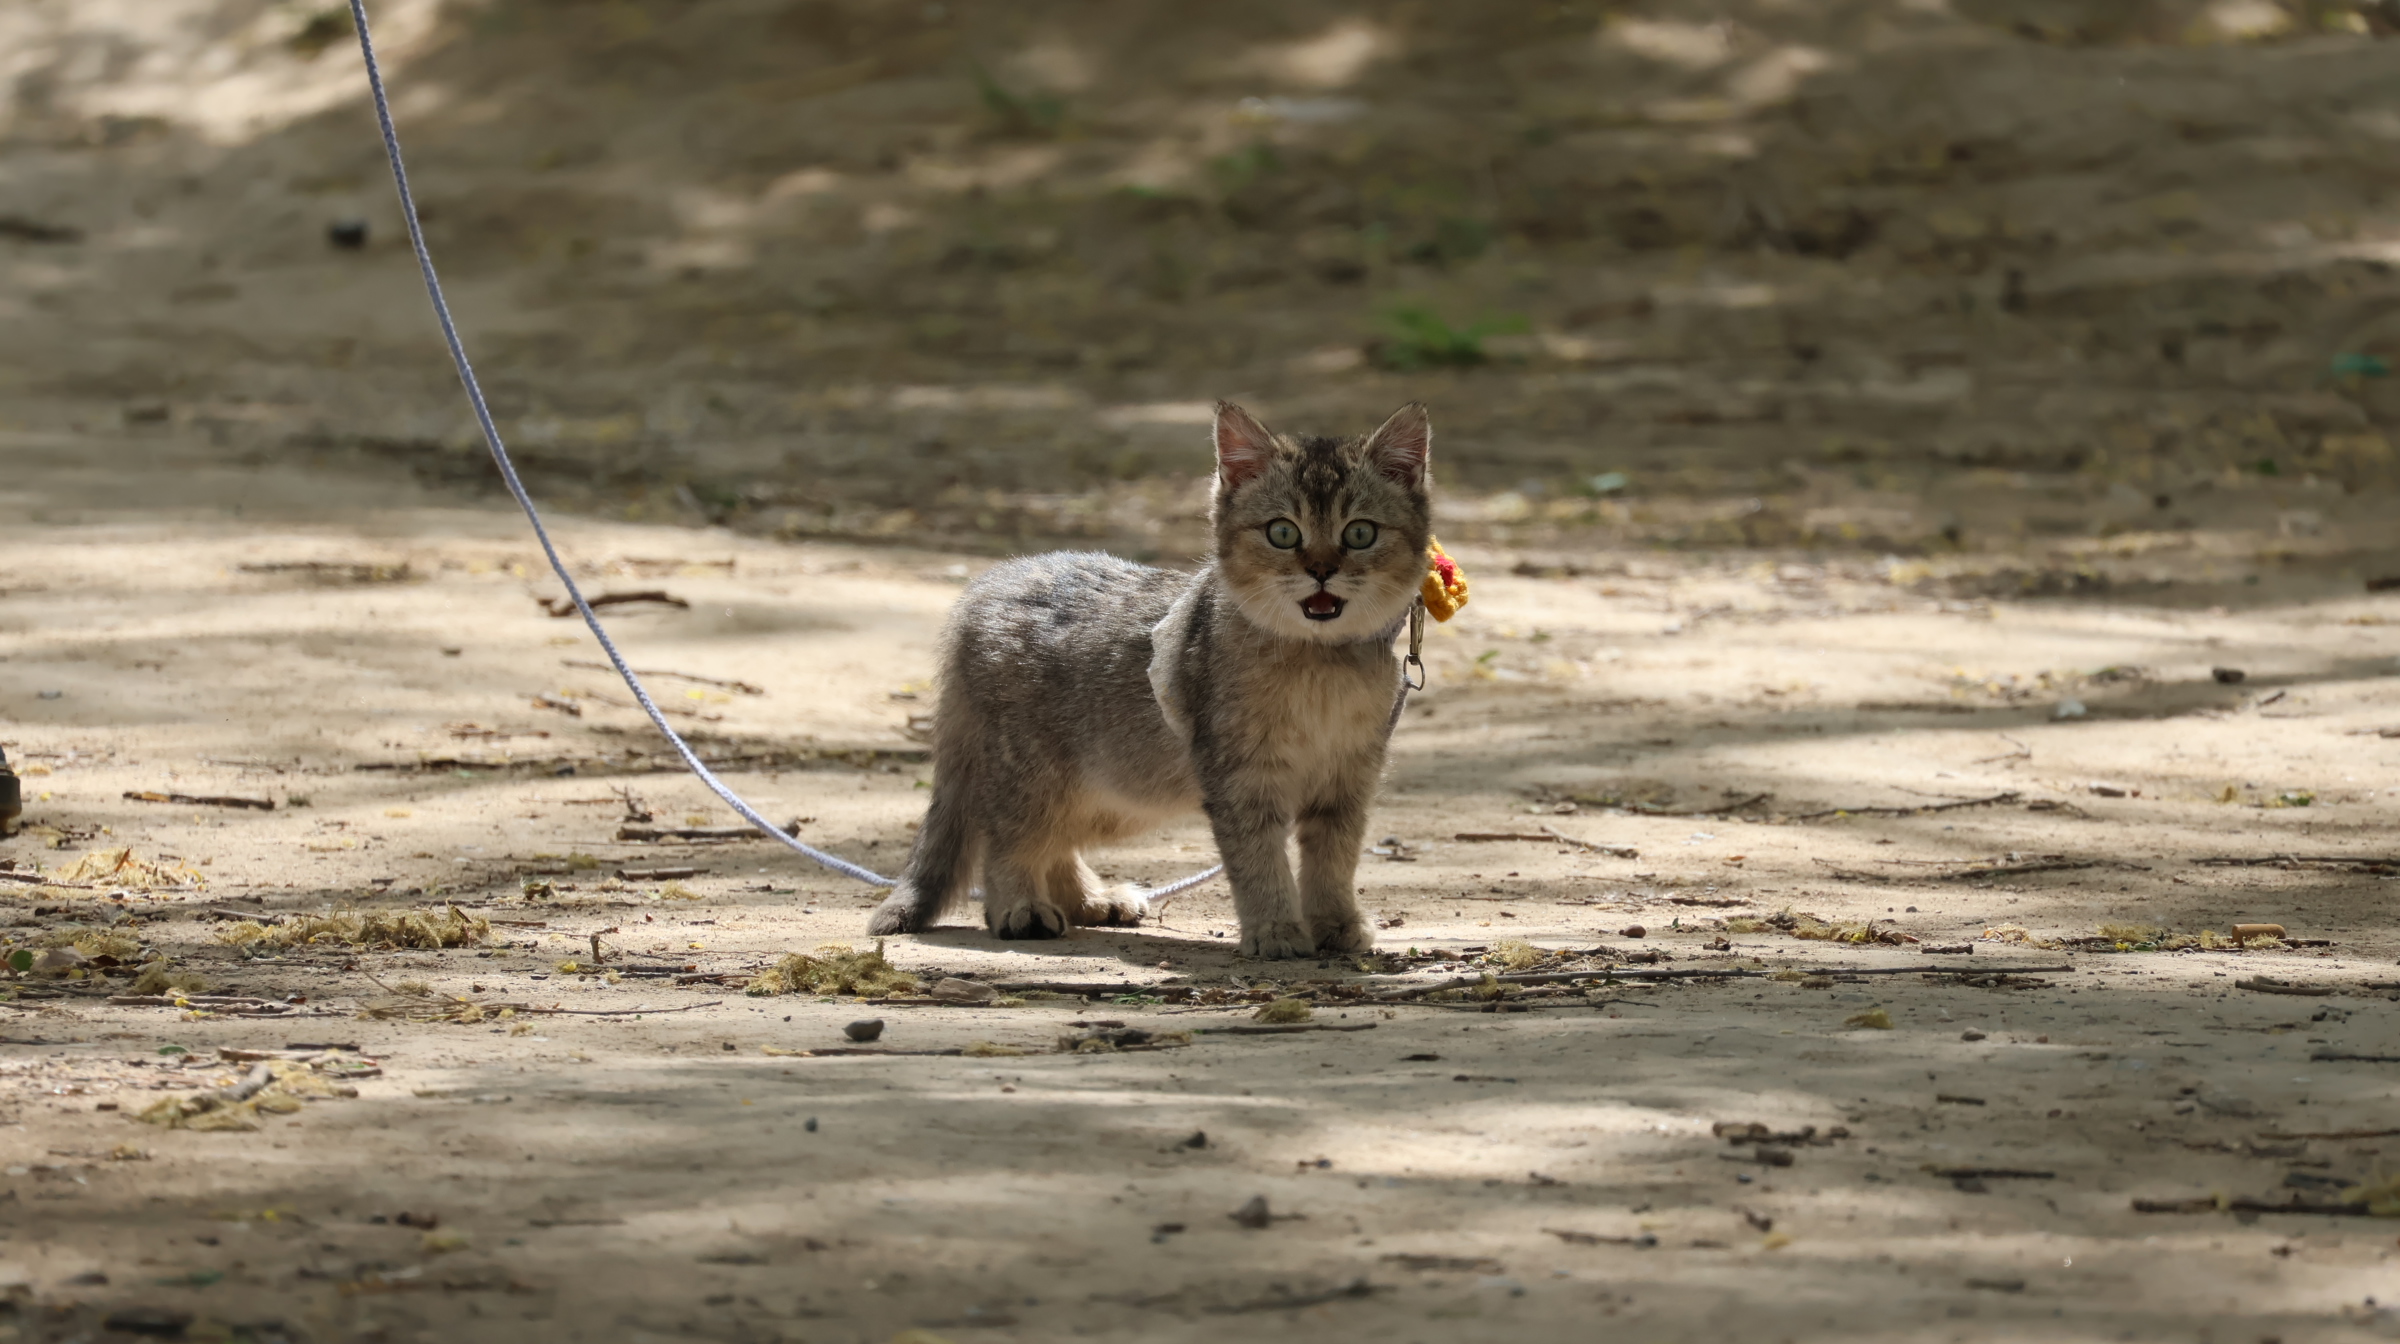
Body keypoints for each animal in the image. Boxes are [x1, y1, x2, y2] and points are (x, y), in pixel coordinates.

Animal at [873, 398, 1430, 955]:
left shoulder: (1347, 777)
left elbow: (1334, 860)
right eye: (1283, 532)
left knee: (1055, 843)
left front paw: (1336, 923)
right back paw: (1020, 906)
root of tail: (984, 587)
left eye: (1359, 533)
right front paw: (1275, 929)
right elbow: (1260, 862)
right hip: (1033, 779)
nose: (1320, 570)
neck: (1319, 668)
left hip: (1108, 793)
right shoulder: (1242, 780)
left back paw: (1090, 900)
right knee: (1008, 841)